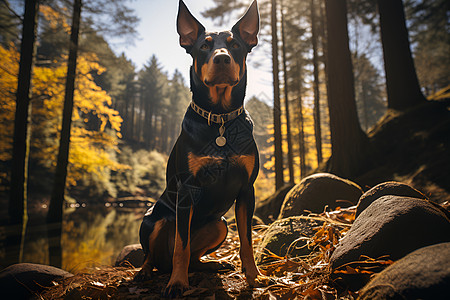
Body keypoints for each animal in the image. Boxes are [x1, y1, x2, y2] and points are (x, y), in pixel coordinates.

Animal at [134, 0, 268, 296]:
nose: (222, 58)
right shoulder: (188, 189)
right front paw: (177, 283)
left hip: (219, 224)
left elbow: (247, 241)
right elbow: (181, 247)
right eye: (204, 46)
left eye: (235, 44)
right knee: (153, 254)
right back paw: (146, 272)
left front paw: (254, 276)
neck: (219, 120)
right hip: (153, 218)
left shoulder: (246, 189)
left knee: (193, 256)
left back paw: (212, 265)